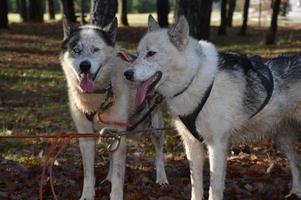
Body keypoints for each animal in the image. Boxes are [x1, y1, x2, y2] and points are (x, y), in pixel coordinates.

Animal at [58, 17, 166, 200]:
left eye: (95, 49)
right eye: (76, 50)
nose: (84, 66)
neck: (98, 95)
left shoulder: (119, 134)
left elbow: (118, 172)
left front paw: (115, 194)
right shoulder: (86, 136)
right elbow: (89, 172)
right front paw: (87, 194)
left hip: (156, 125)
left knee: (159, 151)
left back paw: (162, 178)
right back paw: (107, 177)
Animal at [123, 16, 300, 200]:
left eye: (151, 53)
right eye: (137, 54)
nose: (126, 74)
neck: (194, 78)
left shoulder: (217, 146)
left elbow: (214, 188)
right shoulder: (192, 144)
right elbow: (196, 186)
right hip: (284, 140)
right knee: (296, 163)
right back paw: (295, 192)